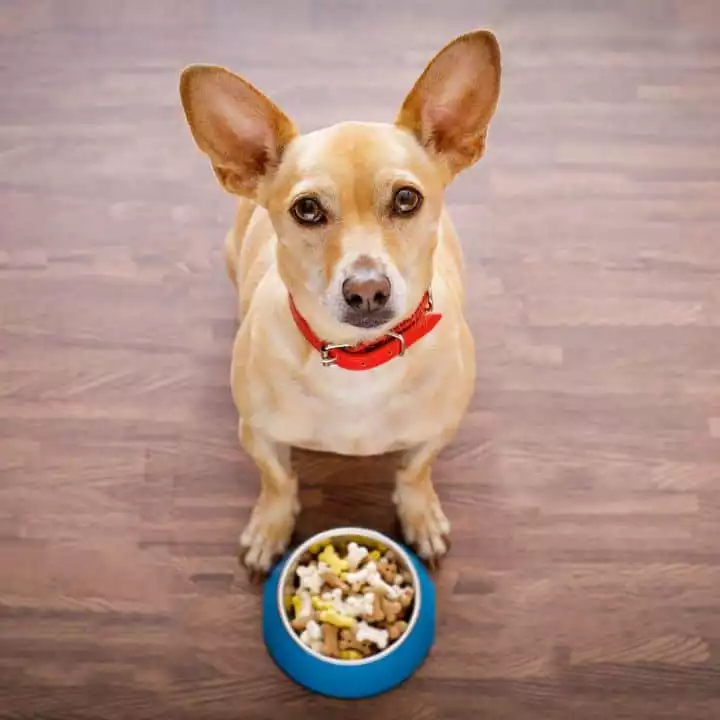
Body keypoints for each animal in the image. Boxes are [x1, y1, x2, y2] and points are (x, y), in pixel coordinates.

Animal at [180, 32, 500, 572]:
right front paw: (271, 526)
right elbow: (278, 481)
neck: (359, 360)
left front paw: (420, 515)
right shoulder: (258, 435)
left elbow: (414, 473)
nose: (367, 289)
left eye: (407, 199)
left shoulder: (437, 431)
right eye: (307, 209)